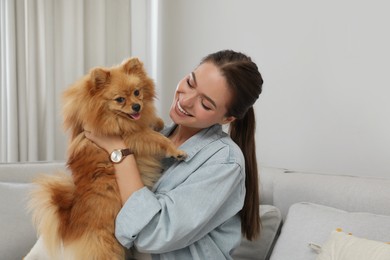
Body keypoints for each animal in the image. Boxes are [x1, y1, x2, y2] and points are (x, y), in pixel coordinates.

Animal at [24, 58, 186, 258]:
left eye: (137, 92)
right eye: (120, 99)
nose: (137, 106)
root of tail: (68, 226)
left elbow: (152, 125)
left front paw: (158, 122)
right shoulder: (132, 135)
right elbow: (157, 138)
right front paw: (175, 150)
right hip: (106, 247)